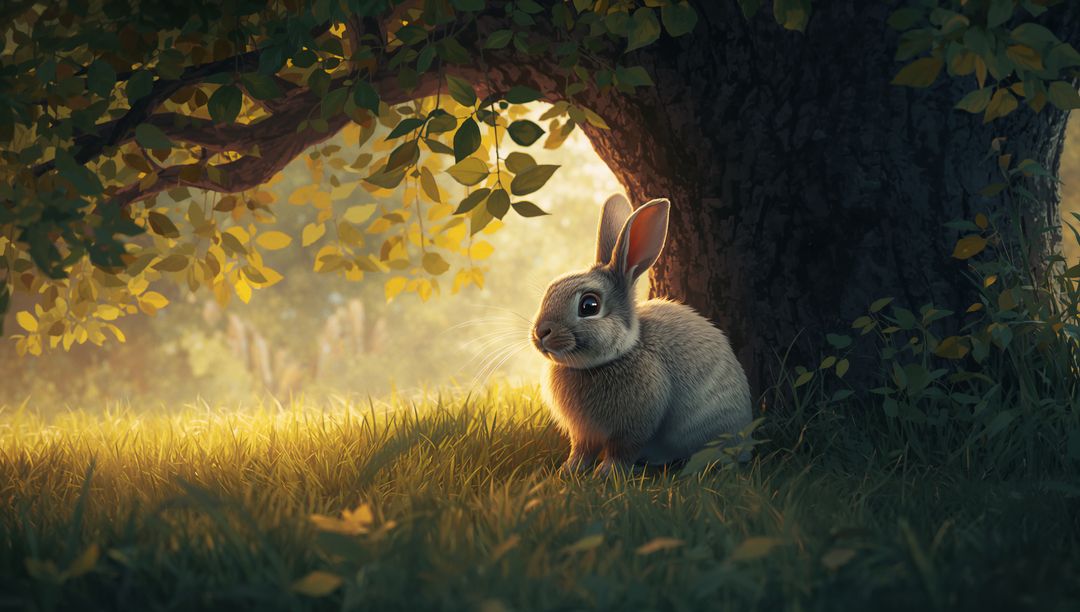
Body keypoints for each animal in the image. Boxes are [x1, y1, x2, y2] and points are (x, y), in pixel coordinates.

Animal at [531, 194, 752, 476]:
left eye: (589, 306)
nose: (540, 333)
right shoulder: (583, 434)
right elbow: (581, 451)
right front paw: (568, 471)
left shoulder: (635, 426)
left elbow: (622, 451)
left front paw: (606, 473)